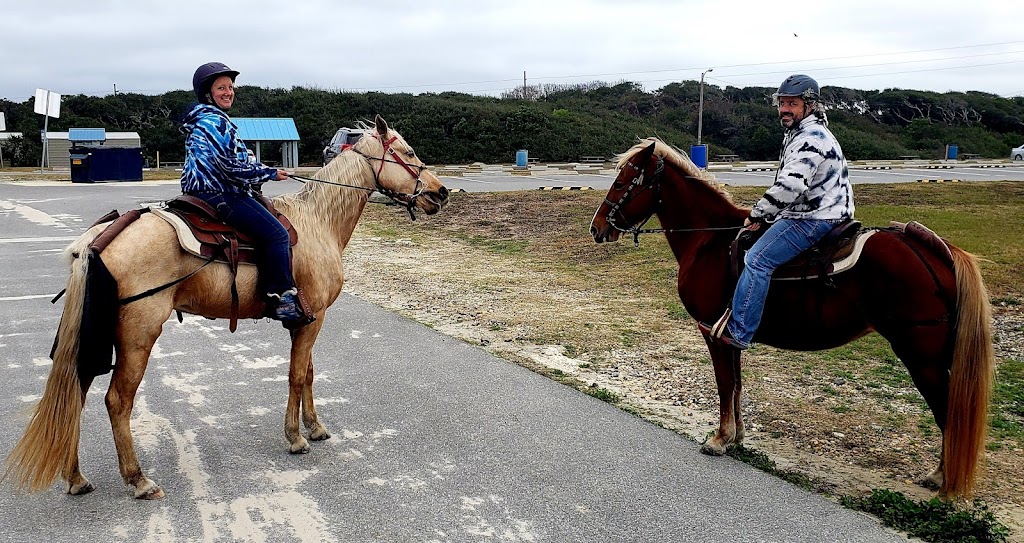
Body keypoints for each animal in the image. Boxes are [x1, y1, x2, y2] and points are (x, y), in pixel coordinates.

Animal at [3, 114, 448, 497]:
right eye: (407, 152)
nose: (440, 192)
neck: (318, 221)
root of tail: (101, 236)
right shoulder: (312, 318)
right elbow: (295, 375)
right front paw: (295, 437)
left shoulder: (307, 319)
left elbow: (307, 373)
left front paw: (315, 426)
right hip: (137, 334)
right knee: (116, 400)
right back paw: (138, 479)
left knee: (76, 391)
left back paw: (76, 477)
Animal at [589, 137, 995, 495]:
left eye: (623, 182)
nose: (597, 228)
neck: (710, 242)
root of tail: (937, 254)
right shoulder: (730, 334)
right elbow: (736, 385)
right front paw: (737, 437)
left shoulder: (712, 332)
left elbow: (724, 385)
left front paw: (720, 438)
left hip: (922, 357)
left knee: (948, 412)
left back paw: (942, 478)